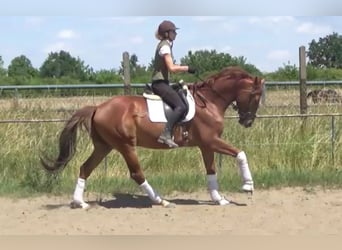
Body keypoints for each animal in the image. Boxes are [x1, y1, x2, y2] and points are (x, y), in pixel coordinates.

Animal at [40, 67, 264, 209]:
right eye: (255, 96)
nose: (248, 121)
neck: (209, 101)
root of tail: (98, 107)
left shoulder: (206, 145)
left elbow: (211, 171)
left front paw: (219, 199)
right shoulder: (211, 141)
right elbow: (241, 154)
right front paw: (248, 186)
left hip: (104, 146)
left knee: (85, 168)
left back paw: (80, 203)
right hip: (126, 145)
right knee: (136, 173)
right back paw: (161, 201)